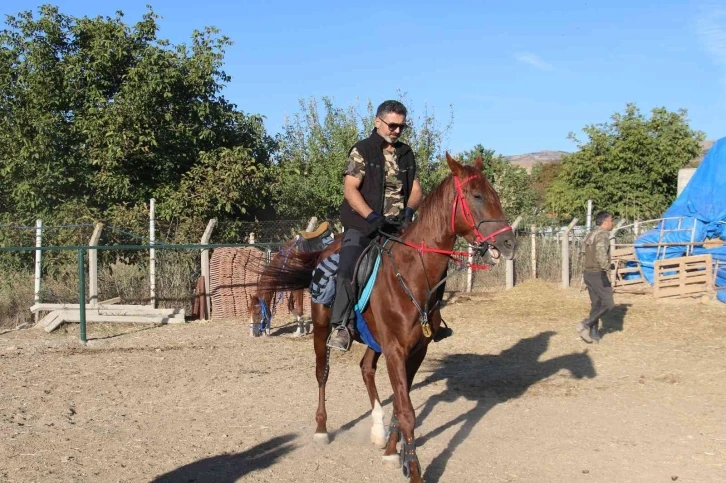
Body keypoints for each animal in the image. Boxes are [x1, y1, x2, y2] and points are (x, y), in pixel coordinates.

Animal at [250, 153, 516, 482]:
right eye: (477, 196)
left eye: (495, 195)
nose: (509, 243)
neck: (413, 272)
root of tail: (324, 252)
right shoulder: (395, 350)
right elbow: (406, 411)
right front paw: (413, 469)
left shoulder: (413, 350)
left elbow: (401, 405)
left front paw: (392, 451)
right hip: (323, 329)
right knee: (322, 373)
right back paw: (322, 429)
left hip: (373, 340)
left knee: (366, 368)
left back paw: (377, 429)